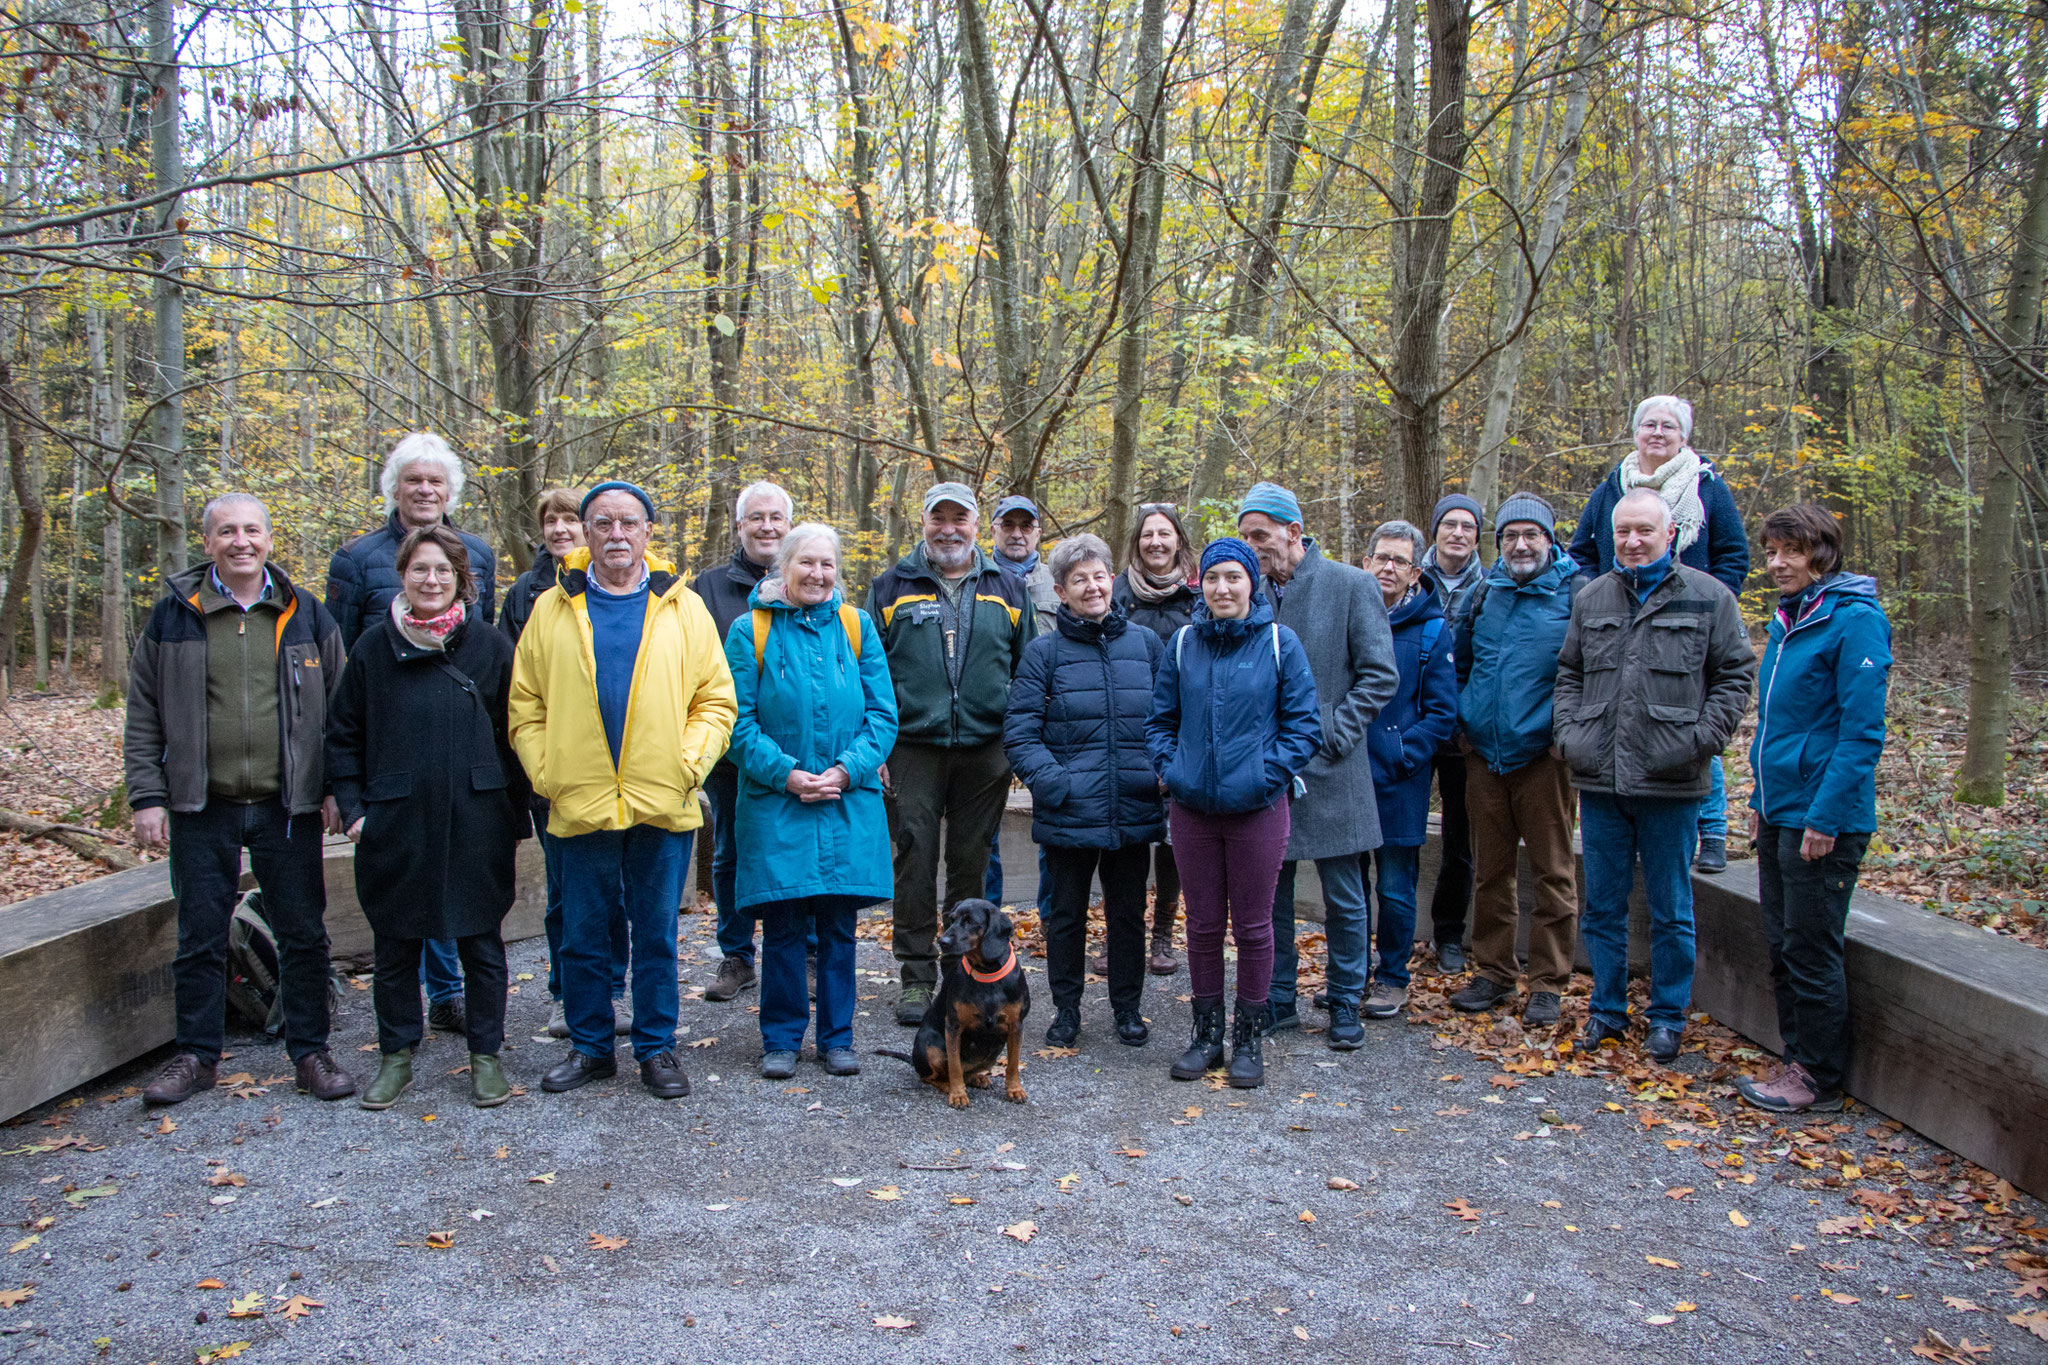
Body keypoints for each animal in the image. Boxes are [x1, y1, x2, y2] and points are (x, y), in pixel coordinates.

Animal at [880, 896, 1040, 1113]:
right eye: (952, 919)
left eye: (970, 921)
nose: (942, 941)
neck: (986, 973)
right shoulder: (954, 1027)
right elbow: (954, 1066)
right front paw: (957, 1094)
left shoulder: (1016, 1026)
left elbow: (1013, 1064)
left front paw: (1014, 1090)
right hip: (930, 1046)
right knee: (932, 1076)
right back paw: (948, 1085)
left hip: (991, 1054)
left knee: (966, 1072)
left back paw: (977, 1078)